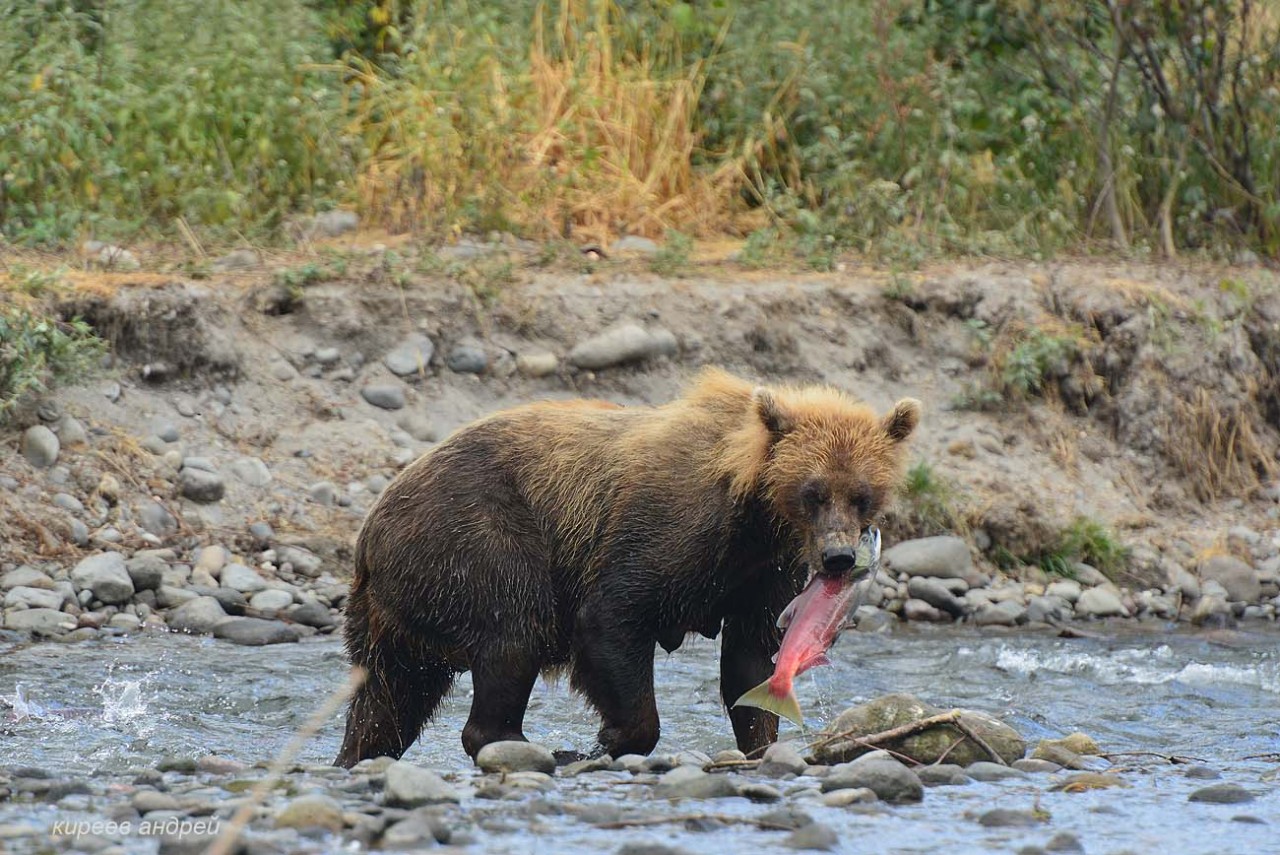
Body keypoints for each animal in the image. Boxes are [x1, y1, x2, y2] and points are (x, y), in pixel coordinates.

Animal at [335, 368, 921, 767]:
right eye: (813, 492)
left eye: (863, 495)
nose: (838, 558)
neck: (752, 506)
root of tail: (369, 532)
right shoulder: (669, 527)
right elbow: (612, 617)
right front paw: (608, 739)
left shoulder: (760, 572)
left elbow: (750, 660)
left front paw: (760, 741)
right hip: (473, 539)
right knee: (513, 632)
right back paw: (517, 742)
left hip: (397, 610)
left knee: (387, 701)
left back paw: (357, 754)